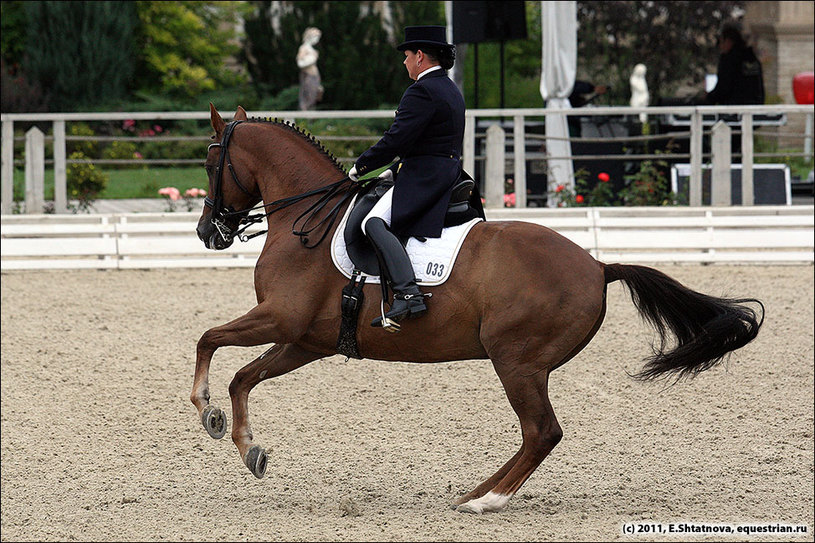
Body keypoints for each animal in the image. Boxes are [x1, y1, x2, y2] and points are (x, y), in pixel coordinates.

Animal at [191, 105, 764, 516]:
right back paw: (472, 492)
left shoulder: (282, 318)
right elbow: (243, 376)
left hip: (516, 360)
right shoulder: (307, 339)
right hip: (523, 365)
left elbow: (208, 339)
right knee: (535, 434)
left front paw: (207, 411)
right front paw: (246, 446)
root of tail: (598, 266)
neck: (307, 221)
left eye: (210, 163)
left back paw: (487, 501)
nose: (206, 233)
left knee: (542, 432)